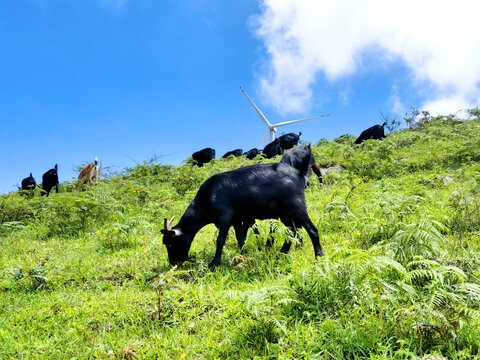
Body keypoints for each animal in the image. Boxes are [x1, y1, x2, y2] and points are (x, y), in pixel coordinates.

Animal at [160, 162, 322, 266]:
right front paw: (243, 255)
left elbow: (220, 240)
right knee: (292, 232)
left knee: (312, 230)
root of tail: (300, 175)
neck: (208, 197)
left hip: (296, 206)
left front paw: (214, 263)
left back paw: (319, 257)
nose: (173, 263)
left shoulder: (224, 217)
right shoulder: (236, 219)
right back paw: (281, 254)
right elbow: (240, 238)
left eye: (170, 243)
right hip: (284, 213)